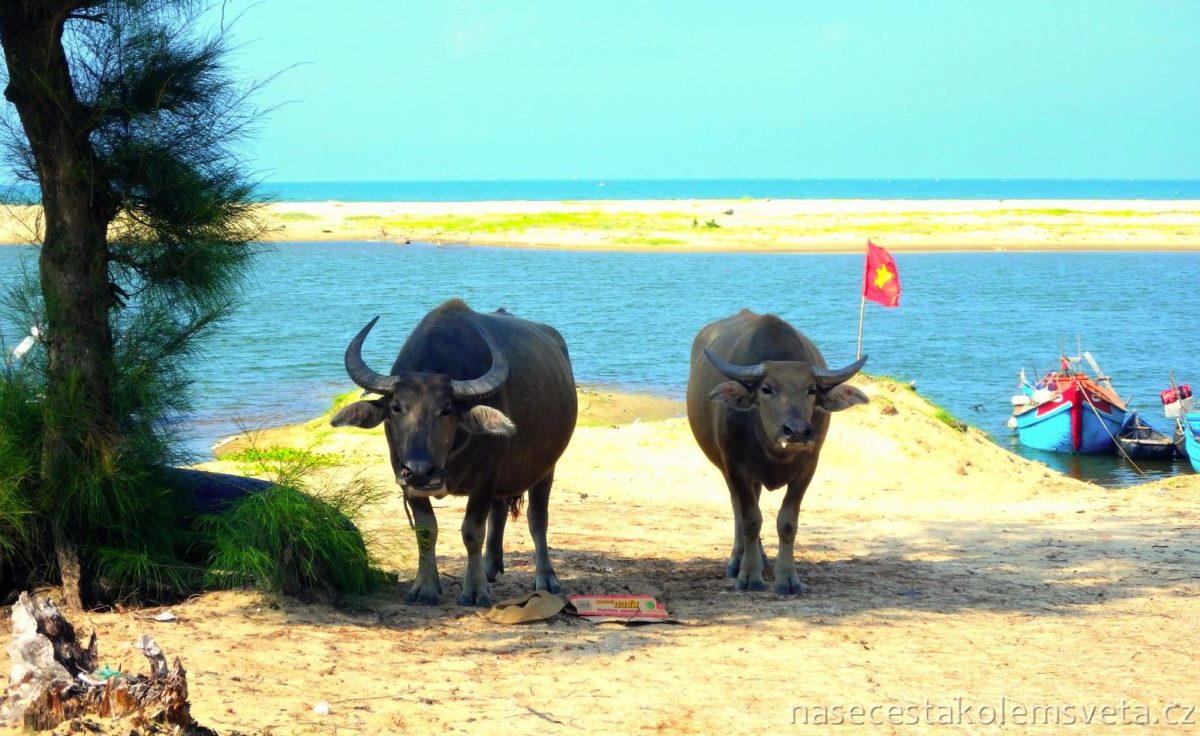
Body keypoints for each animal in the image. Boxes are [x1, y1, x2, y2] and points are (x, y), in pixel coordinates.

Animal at [326, 295, 573, 605]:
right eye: (396, 407)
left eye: (446, 410)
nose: (420, 471)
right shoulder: (403, 476)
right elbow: (425, 530)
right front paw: (425, 587)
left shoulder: (485, 477)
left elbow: (472, 531)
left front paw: (475, 591)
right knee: (500, 511)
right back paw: (490, 568)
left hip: (546, 468)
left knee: (537, 519)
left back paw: (546, 578)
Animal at [691, 307, 868, 593]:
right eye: (766, 389)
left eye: (811, 390)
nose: (796, 431)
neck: (774, 451)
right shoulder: (736, 467)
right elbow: (750, 519)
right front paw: (749, 575)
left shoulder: (807, 469)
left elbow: (787, 523)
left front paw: (787, 578)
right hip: (727, 470)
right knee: (738, 509)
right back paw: (738, 560)